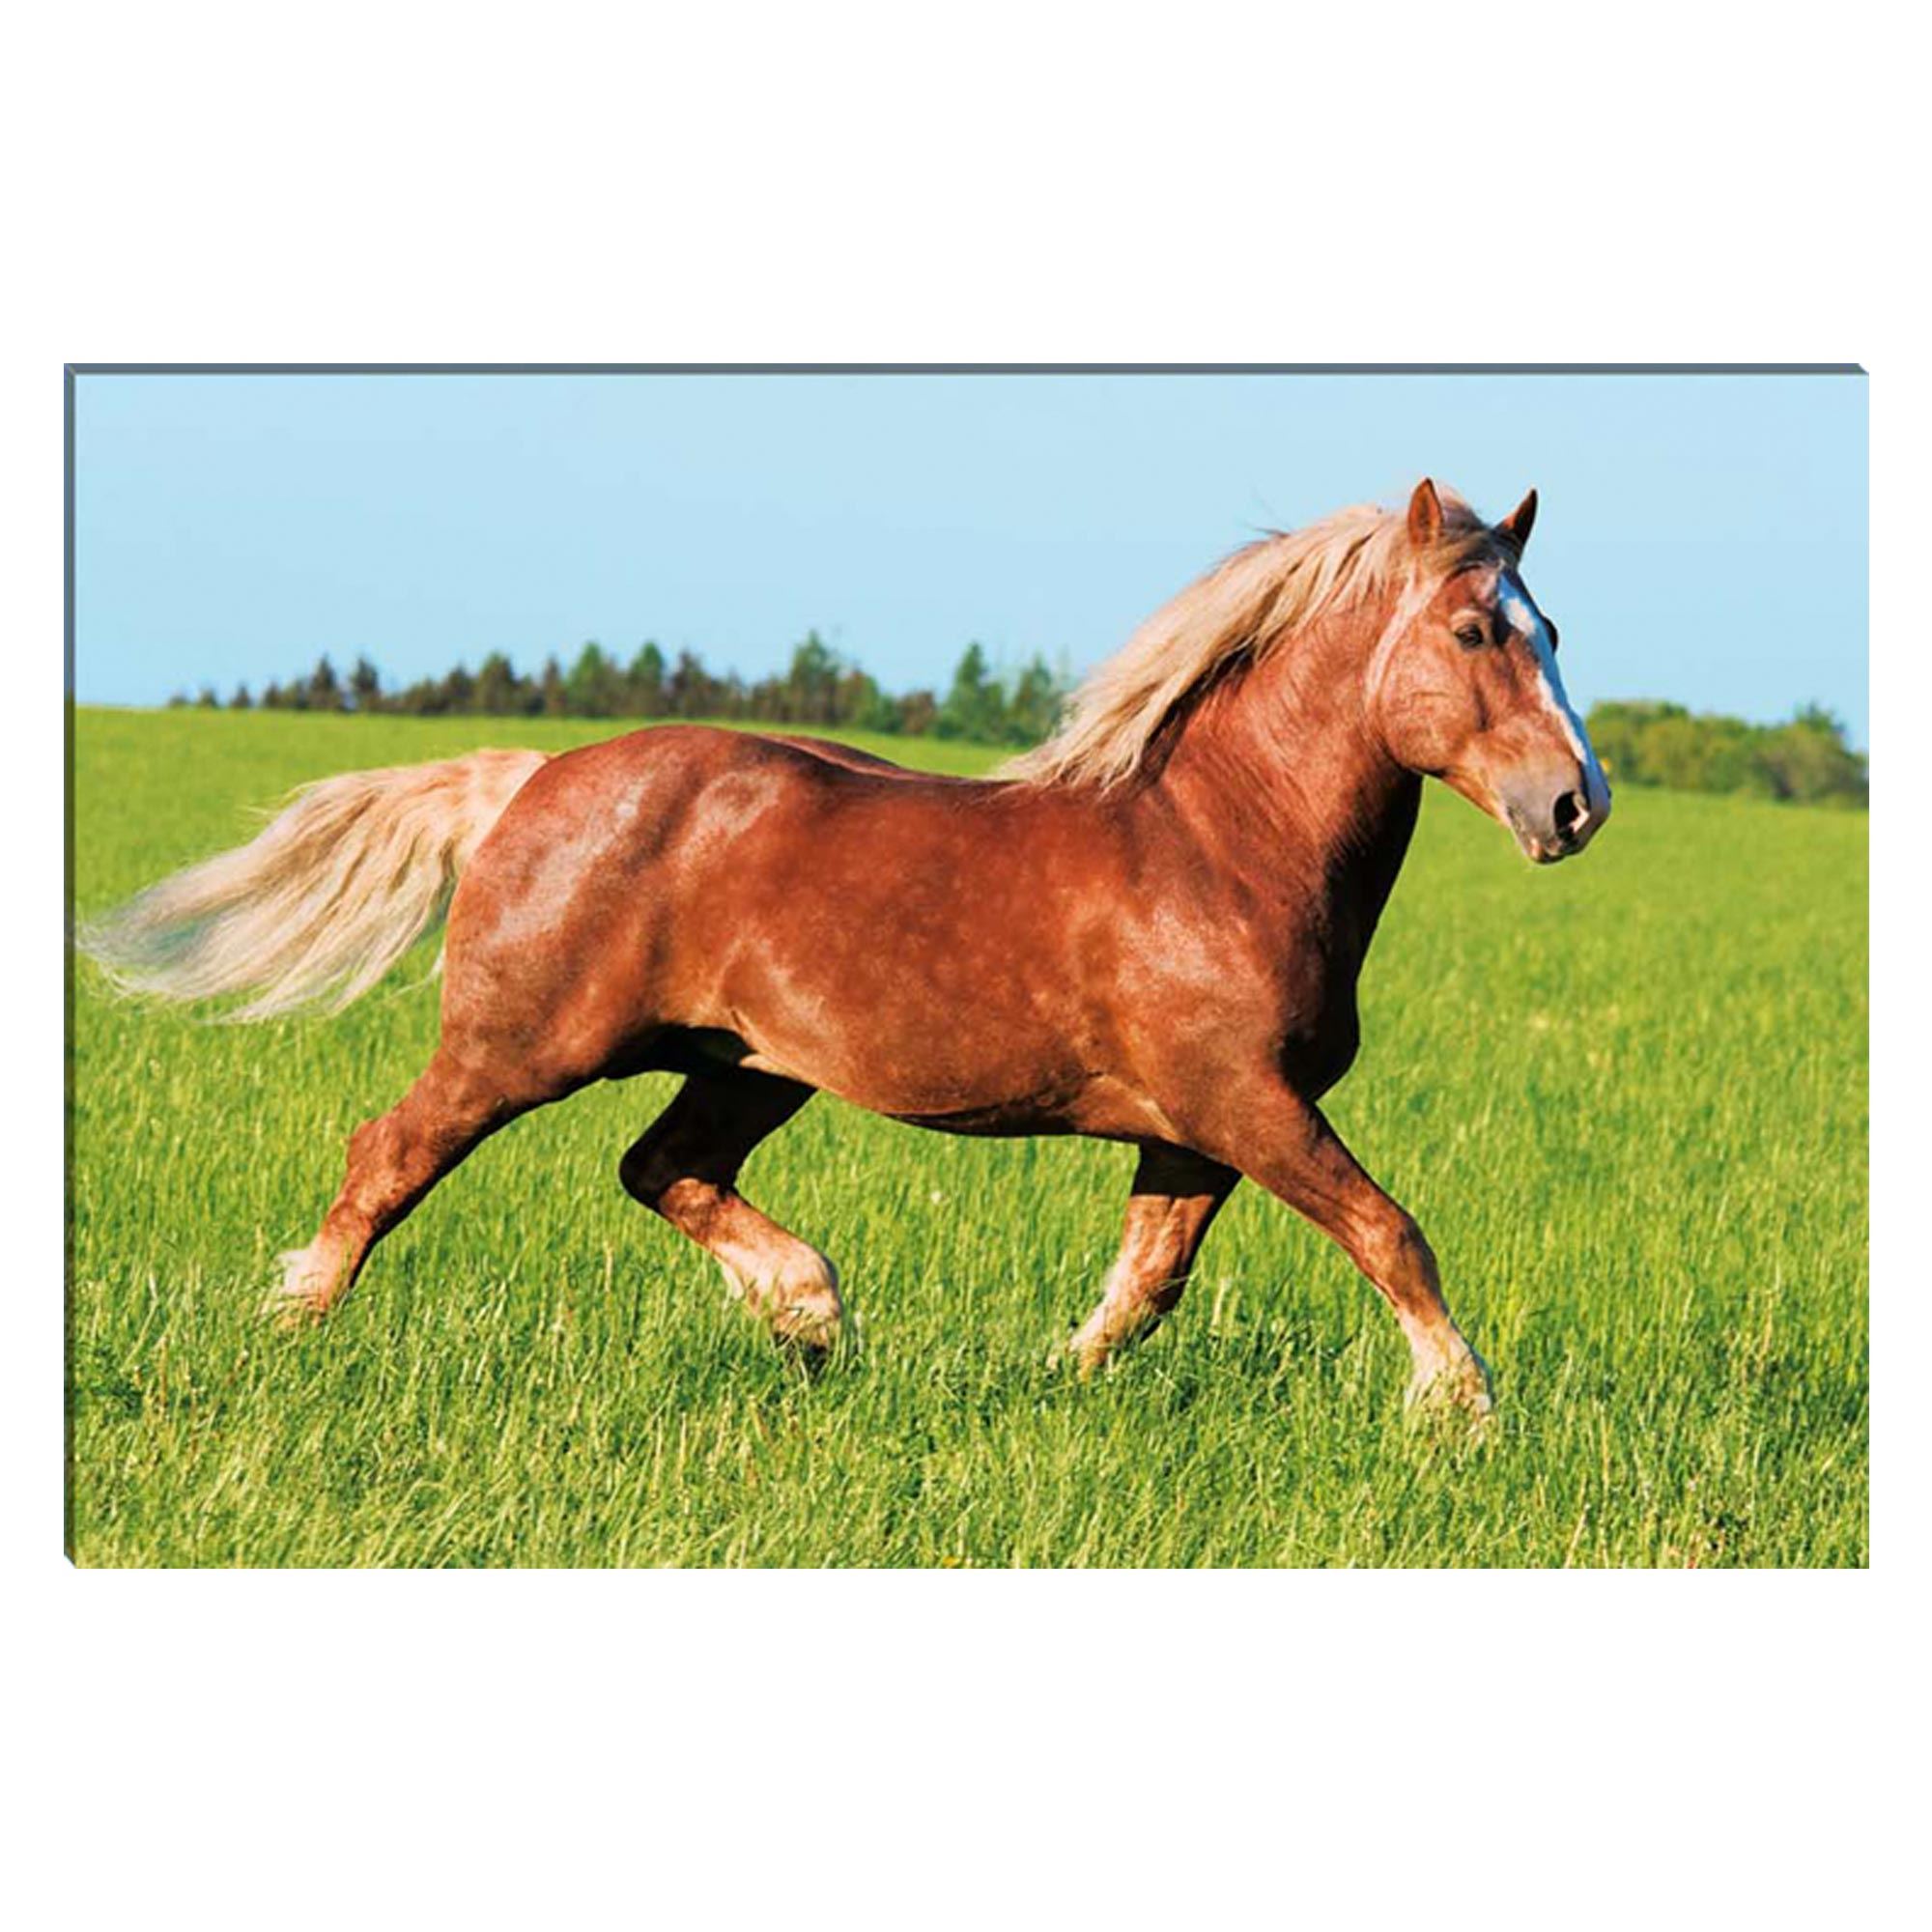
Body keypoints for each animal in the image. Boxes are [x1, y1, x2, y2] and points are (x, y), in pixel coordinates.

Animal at [81, 479, 1610, 1417]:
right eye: (1474, 630)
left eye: (1549, 626)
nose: (1574, 806)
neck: (1225, 843)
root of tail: (527, 780)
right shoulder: (1244, 1103)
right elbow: (1390, 1231)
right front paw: (1460, 1407)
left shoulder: (1194, 1128)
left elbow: (1145, 1287)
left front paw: (1050, 1381)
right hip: (523, 1043)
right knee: (391, 1153)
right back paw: (293, 1322)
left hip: (748, 1062)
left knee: (660, 1168)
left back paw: (811, 1316)